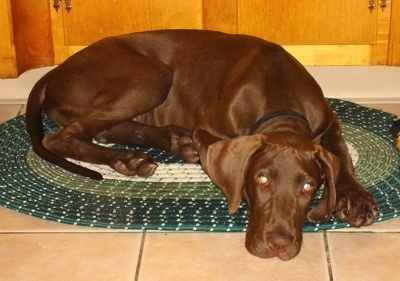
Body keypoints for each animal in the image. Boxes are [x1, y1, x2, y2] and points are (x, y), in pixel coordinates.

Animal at [25, 29, 378, 260]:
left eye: (309, 187)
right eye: (262, 179)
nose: (279, 244)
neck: (280, 97)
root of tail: (56, 70)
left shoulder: (329, 125)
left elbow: (343, 157)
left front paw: (356, 197)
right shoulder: (207, 129)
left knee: (109, 129)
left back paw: (157, 148)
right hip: (152, 74)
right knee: (63, 136)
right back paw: (132, 157)